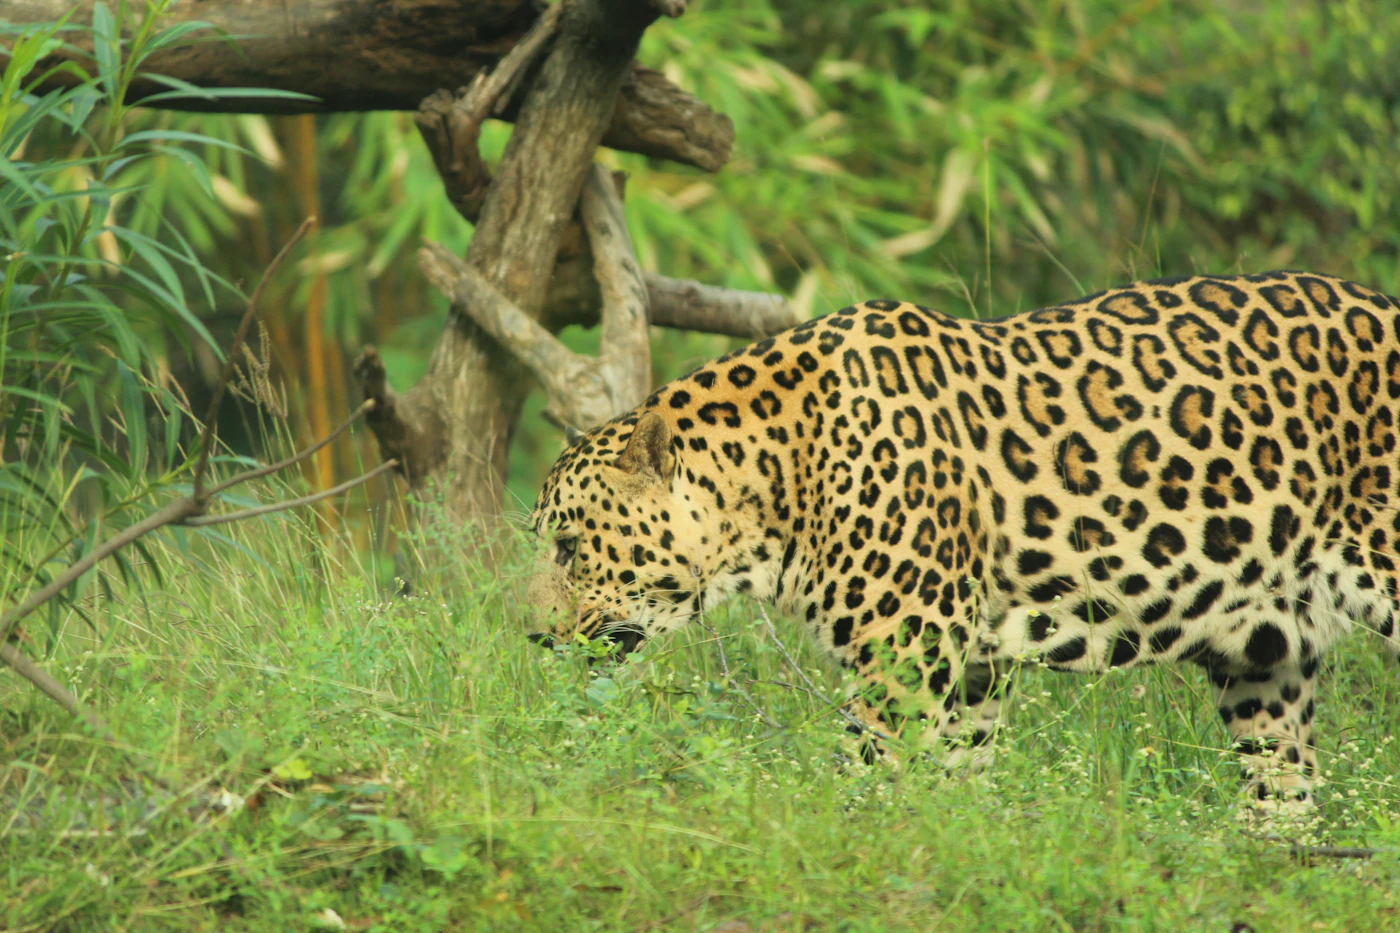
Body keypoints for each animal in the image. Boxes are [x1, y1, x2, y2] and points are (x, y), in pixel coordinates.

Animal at [526, 270, 1400, 816]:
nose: (532, 636)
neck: (779, 476)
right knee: (1284, 805)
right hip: (1266, 667)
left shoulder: (901, 662)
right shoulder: (975, 673)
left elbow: (860, 793)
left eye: (569, 545)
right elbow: (951, 792)